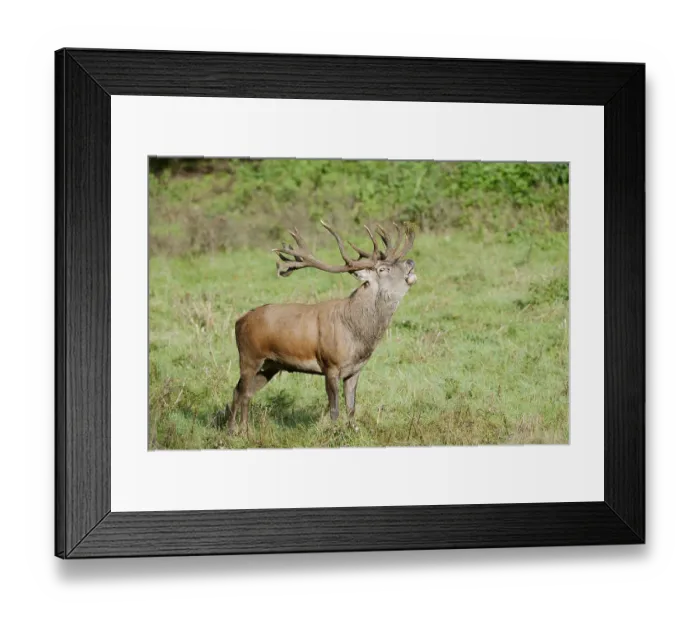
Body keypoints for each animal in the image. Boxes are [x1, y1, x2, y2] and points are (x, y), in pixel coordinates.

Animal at [226, 220, 418, 435]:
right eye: (383, 269)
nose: (410, 262)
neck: (357, 335)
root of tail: (239, 321)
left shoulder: (355, 370)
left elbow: (351, 407)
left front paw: (354, 431)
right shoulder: (330, 365)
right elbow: (334, 409)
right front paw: (333, 433)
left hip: (270, 365)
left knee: (244, 392)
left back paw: (241, 429)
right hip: (249, 356)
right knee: (241, 390)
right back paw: (237, 431)